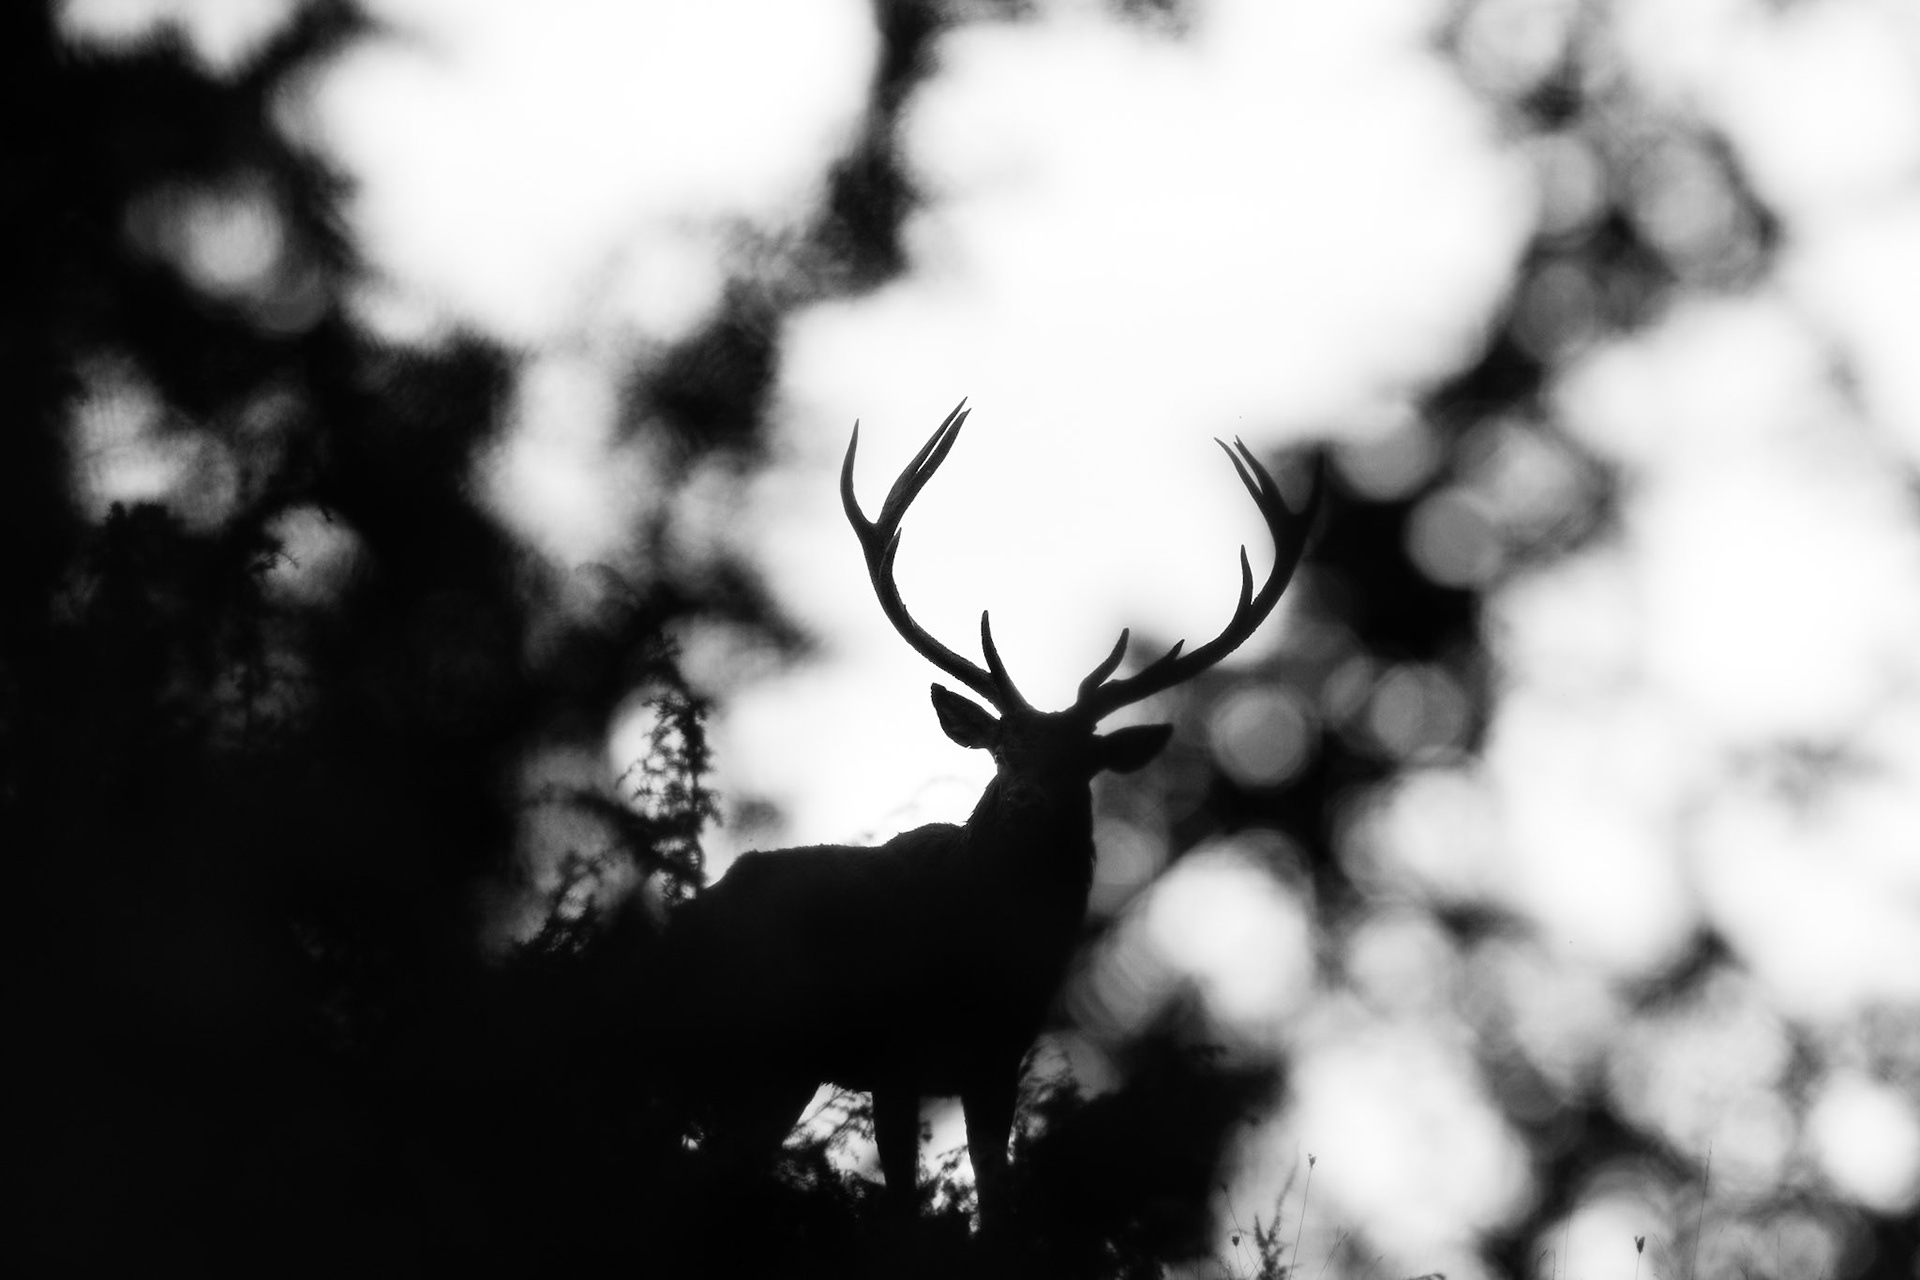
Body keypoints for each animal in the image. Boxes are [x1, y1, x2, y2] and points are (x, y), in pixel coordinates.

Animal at [656, 400, 1316, 1229]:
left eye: (1083, 761)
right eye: (1001, 748)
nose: (1027, 800)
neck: (981, 958)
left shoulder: (1000, 1059)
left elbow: (995, 1198)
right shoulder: (894, 1052)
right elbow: (904, 1204)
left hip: (773, 1072)